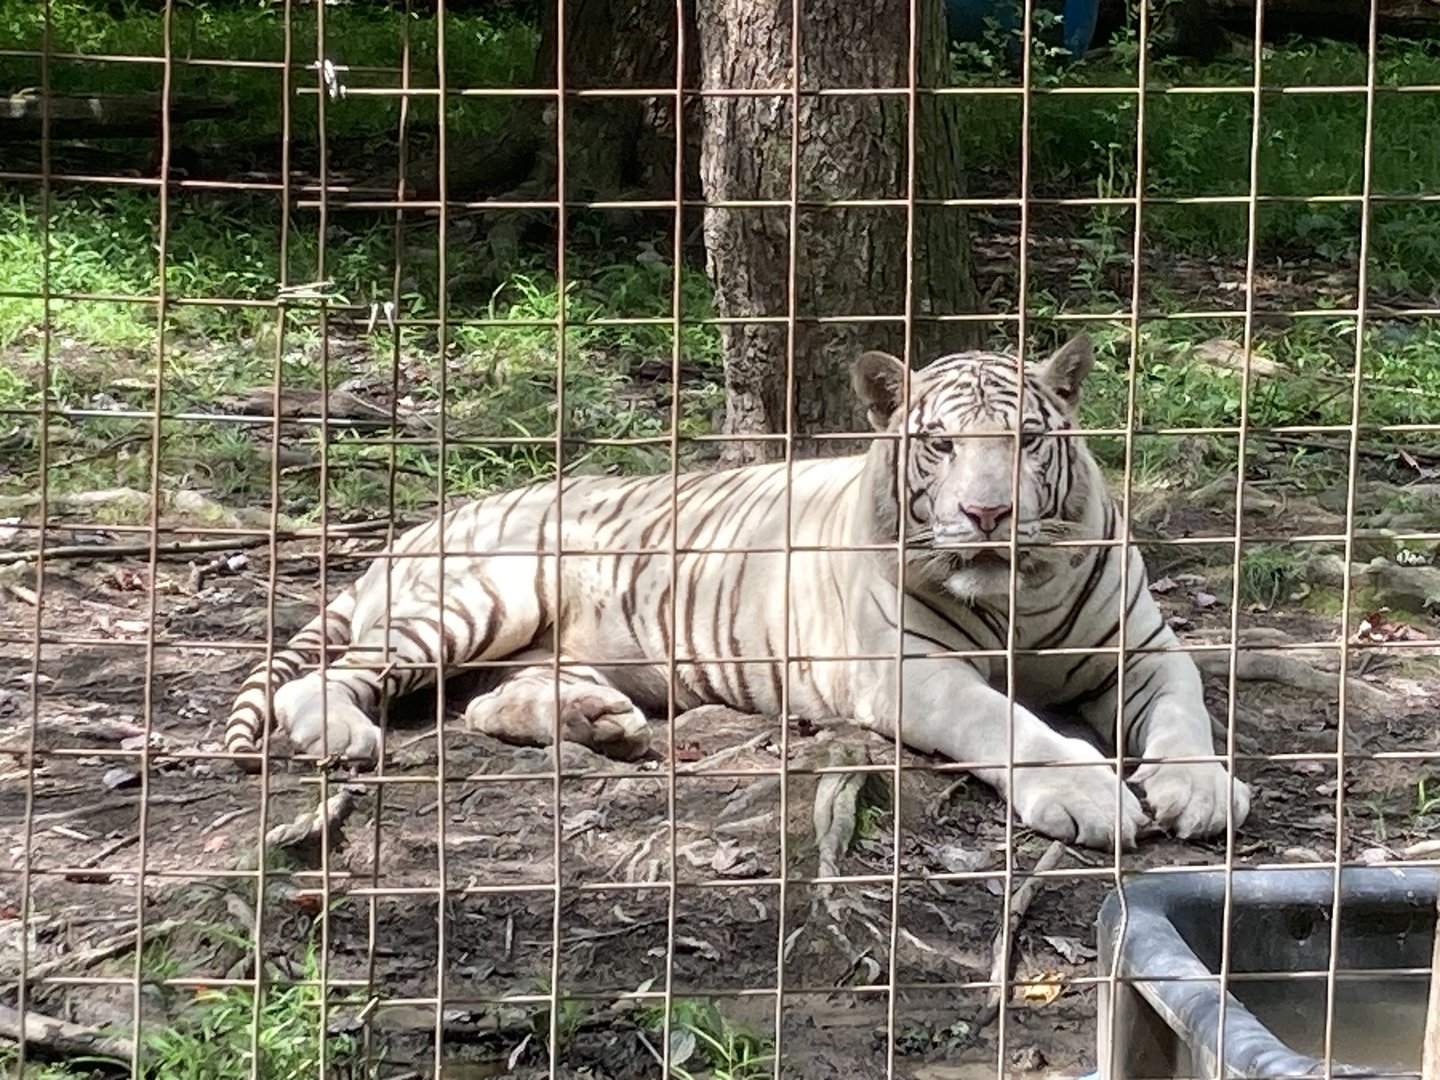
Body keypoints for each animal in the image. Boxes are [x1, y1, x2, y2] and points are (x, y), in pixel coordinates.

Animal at [224, 333, 1251, 850]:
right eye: (941, 444)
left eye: (1028, 441)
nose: (988, 513)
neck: (1018, 598)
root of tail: (415, 528)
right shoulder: (910, 672)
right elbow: (1012, 725)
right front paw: (1090, 797)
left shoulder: (1146, 649)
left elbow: (1187, 712)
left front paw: (1199, 791)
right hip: (488, 595)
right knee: (324, 680)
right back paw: (343, 733)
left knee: (483, 704)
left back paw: (600, 722)